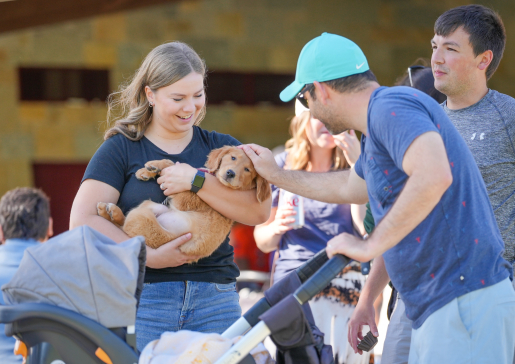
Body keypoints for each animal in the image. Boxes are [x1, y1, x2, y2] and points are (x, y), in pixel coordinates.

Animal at [98, 146, 272, 260]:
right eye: (233, 158)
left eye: (248, 170)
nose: (230, 173)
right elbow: (173, 162)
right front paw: (148, 170)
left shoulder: (186, 199)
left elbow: (175, 165)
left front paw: (157, 167)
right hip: (150, 206)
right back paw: (109, 211)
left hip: (141, 216)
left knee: (124, 227)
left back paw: (110, 212)